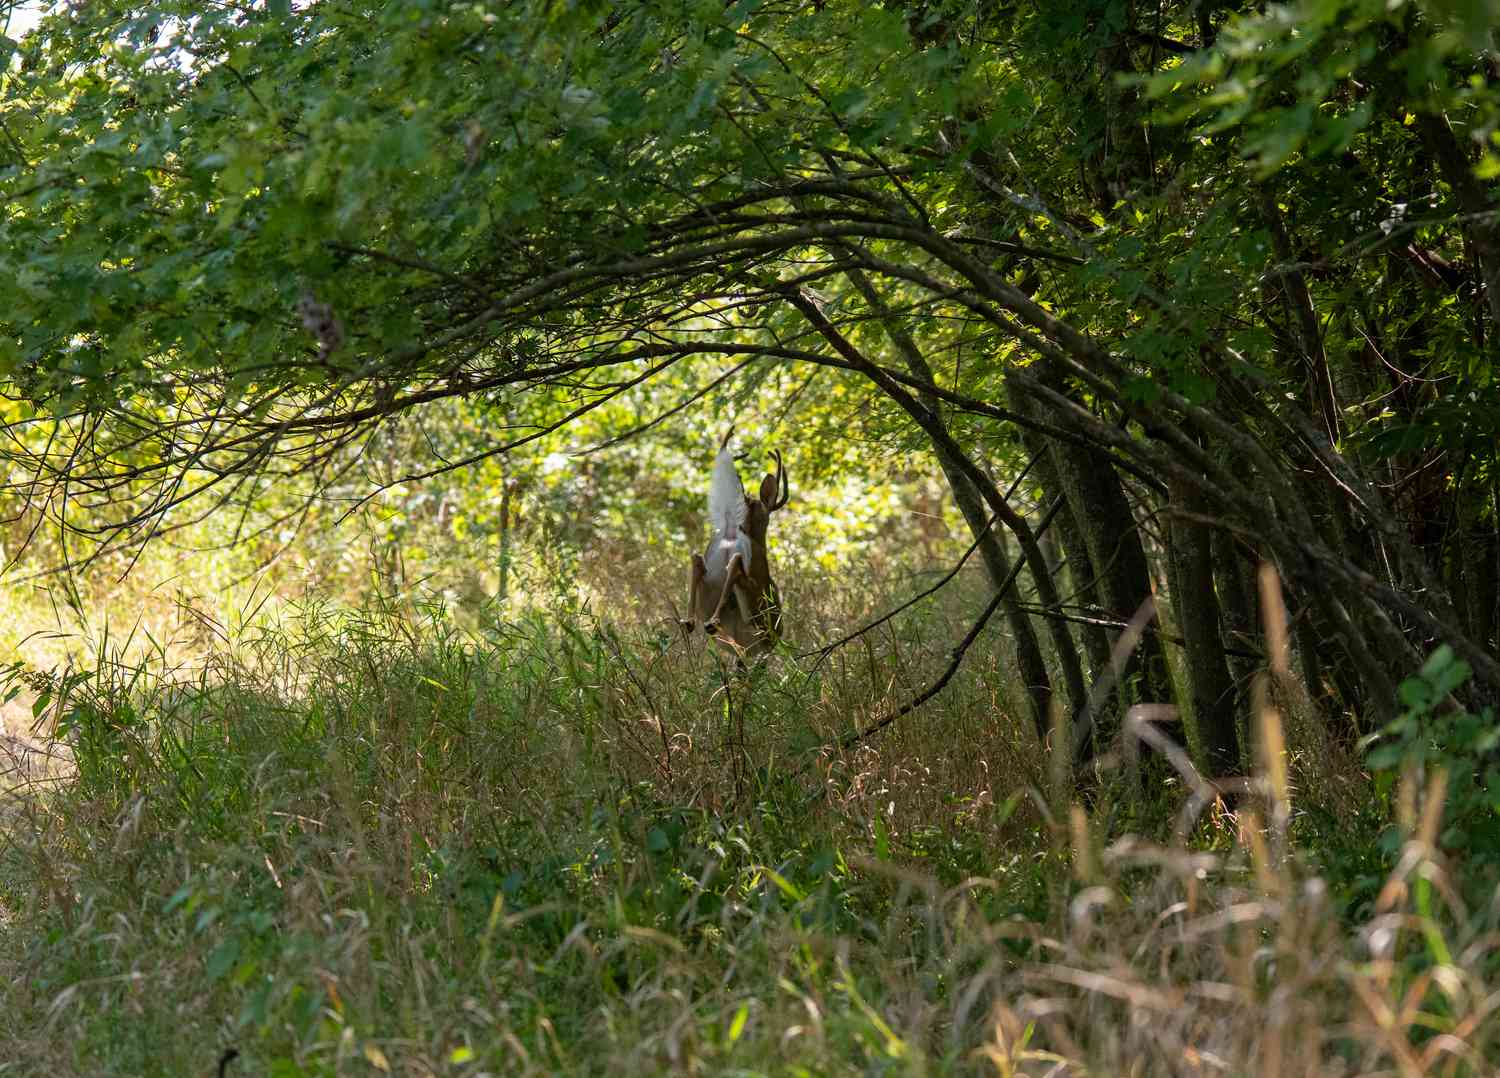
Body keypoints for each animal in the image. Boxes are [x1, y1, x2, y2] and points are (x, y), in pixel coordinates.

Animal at [684, 434, 792, 653]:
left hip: (709, 588)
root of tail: (732, 532)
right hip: (753, 609)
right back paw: (711, 622)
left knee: (697, 559)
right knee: (735, 563)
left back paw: (690, 622)